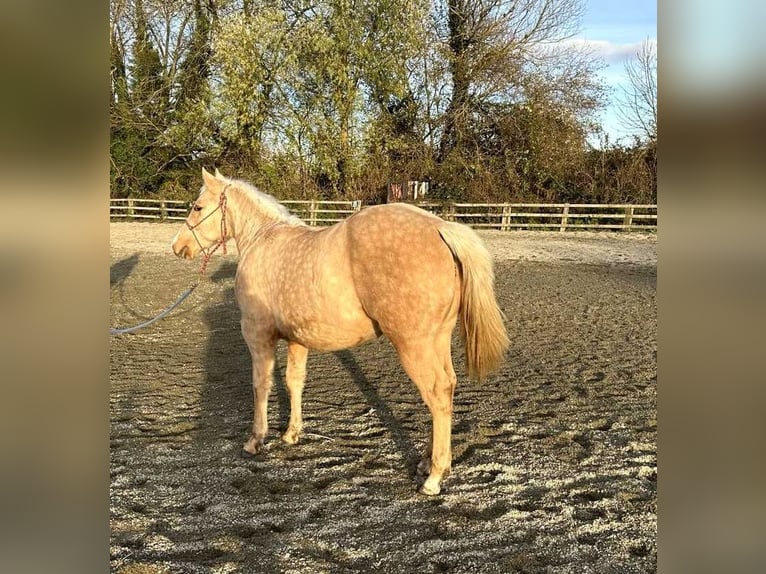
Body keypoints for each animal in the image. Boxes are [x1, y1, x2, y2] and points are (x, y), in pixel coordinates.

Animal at [173, 169, 510, 498]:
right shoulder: (297, 340)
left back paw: (434, 477)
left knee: (437, 395)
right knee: (448, 389)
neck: (263, 240)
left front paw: (255, 440)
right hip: (437, 340)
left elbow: (261, 386)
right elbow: (294, 382)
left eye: (198, 207)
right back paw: (428, 463)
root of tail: (440, 227)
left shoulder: (258, 337)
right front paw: (291, 433)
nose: (178, 247)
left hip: (414, 345)